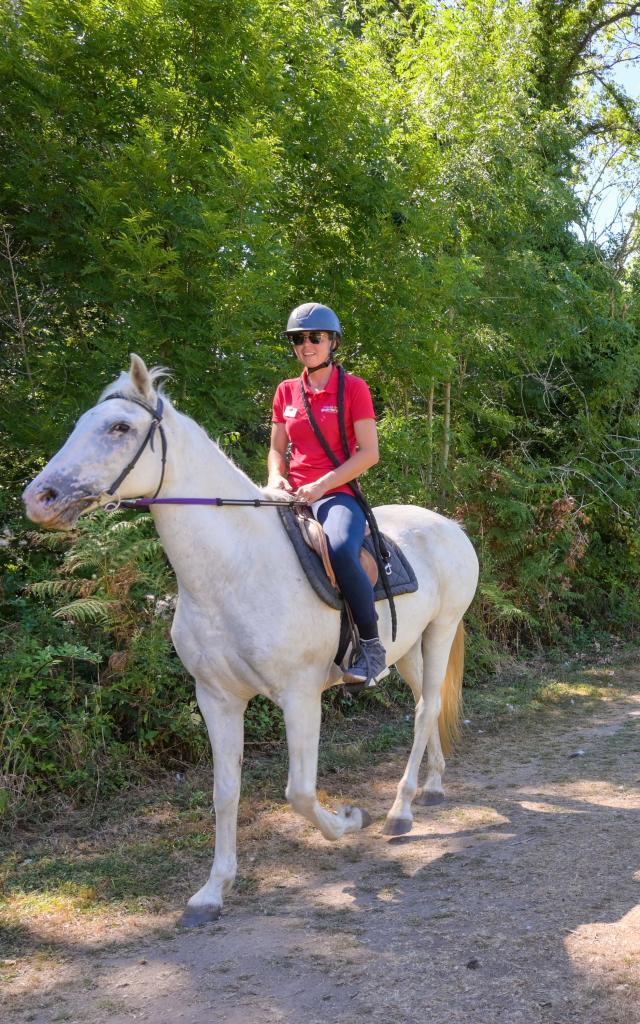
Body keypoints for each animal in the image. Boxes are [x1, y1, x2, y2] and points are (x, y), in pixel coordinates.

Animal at [23, 356, 475, 925]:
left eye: (119, 427)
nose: (38, 499)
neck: (234, 569)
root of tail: (450, 526)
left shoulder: (300, 697)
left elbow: (299, 792)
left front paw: (350, 820)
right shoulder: (216, 699)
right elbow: (225, 793)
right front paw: (213, 890)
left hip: (441, 631)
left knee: (423, 710)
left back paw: (400, 810)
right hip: (408, 647)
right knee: (427, 704)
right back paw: (432, 787)